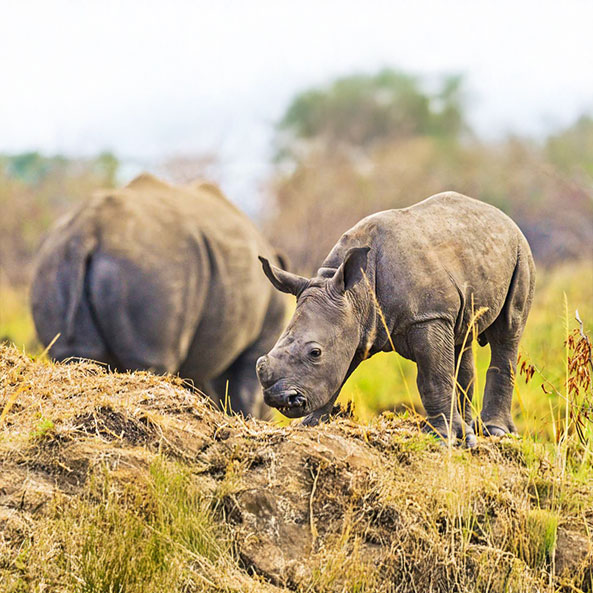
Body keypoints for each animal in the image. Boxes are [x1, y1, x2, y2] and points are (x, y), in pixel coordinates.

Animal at [31, 171, 286, 414]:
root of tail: (88, 230)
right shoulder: (264, 331)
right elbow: (244, 391)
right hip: (152, 268)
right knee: (151, 361)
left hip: (53, 261)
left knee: (75, 354)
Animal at [256, 192, 536, 446]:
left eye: (315, 352)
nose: (279, 398)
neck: (356, 293)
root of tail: (503, 217)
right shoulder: (357, 325)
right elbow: (338, 375)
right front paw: (309, 425)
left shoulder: (427, 317)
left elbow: (433, 377)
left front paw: (444, 438)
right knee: (462, 339)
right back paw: (470, 433)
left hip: (521, 253)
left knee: (508, 330)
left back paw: (495, 432)